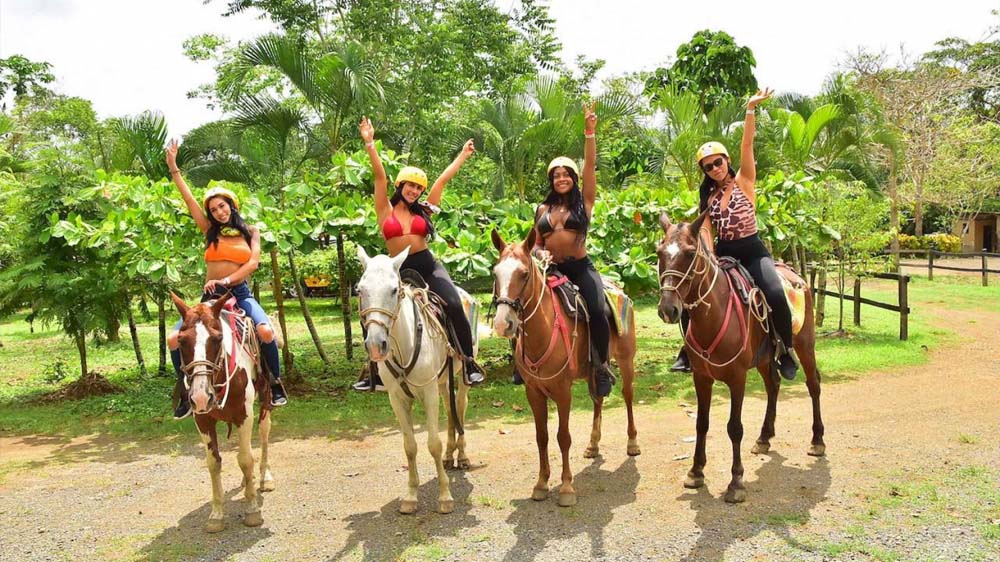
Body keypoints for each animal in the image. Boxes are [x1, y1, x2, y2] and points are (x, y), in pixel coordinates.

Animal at [171, 290, 274, 532]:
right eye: (181, 340)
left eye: (218, 339)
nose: (200, 396)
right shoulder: (203, 420)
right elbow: (213, 462)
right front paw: (216, 515)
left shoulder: (244, 414)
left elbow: (245, 459)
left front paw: (252, 511)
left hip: (265, 399)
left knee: (264, 433)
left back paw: (264, 478)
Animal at [356, 245, 472, 512]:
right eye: (360, 290)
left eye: (393, 290)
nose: (376, 345)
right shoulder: (396, 398)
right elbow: (410, 446)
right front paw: (410, 496)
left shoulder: (428, 392)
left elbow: (433, 444)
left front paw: (445, 497)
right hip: (443, 380)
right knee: (450, 409)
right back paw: (450, 456)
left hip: (461, 378)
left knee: (460, 406)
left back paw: (461, 455)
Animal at [492, 225, 640, 506]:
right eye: (495, 273)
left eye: (524, 274)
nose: (502, 323)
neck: (544, 329)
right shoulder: (533, 392)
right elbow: (542, 437)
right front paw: (541, 484)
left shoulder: (563, 390)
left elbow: (563, 437)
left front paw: (567, 488)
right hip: (593, 371)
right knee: (598, 398)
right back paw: (593, 445)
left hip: (627, 360)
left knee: (627, 396)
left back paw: (632, 443)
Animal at [656, 212, 820, 500]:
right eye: (659, 252)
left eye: (689, 253)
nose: (668, 308)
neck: (714, 315)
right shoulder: (701, 377)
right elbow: (701, 423)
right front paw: (695, 472)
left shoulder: (737, 378)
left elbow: (734, 428)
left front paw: (736, 482)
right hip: (765, 358)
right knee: (773, 385)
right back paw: (764, 438)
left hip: (805, 345)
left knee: (813, 385)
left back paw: (818, 441)